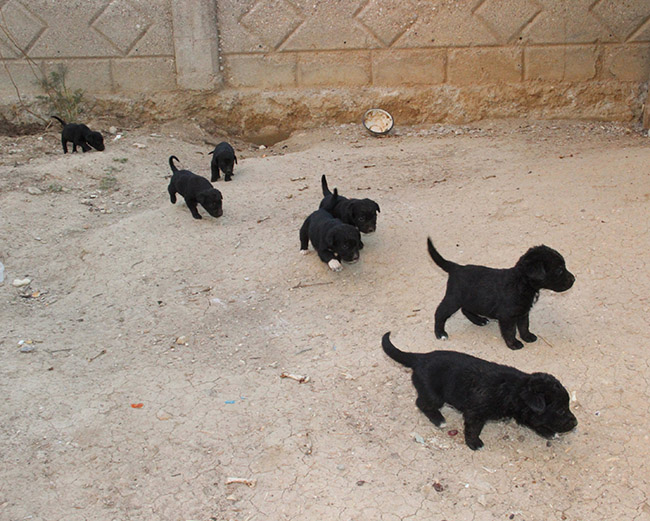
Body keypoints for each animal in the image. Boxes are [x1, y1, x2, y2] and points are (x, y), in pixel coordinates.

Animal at [382, 332, 577, 450]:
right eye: (560, 410)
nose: (575, 423)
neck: (515, 390)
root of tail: (420, 357)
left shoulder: (524, 413)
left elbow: (535, 422)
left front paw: (549, 432)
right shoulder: (475, 413)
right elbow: (472, 429)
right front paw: (474, 443)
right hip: (434, 394)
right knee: (421, 403)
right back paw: (439, 420)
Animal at [427, 238, 575, 350]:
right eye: (559, 270)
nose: (574, 279)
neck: (521, 283)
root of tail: (456, 267)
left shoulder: (523, 313)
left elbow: (524, 326)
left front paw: (527, 337)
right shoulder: (507, 316)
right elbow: (510, 331)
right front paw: (514, 344)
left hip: (472, 298)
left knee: (466, 309)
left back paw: (479, 320)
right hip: (454, 299)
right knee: (440, 312)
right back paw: (440, 333)